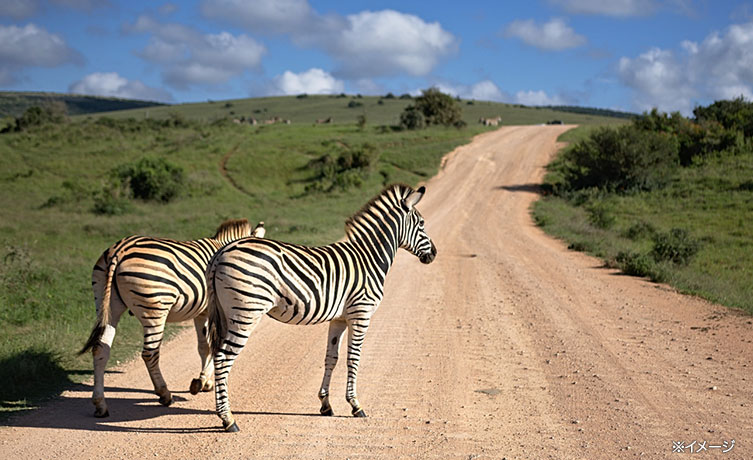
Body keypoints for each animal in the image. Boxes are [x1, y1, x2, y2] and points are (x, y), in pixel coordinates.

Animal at [79, 218, 266, 416]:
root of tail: (119, 250)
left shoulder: (201, 312)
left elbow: (204, 346)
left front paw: (203, 381)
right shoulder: (211, 311)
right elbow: (212, 346)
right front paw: (203, 381)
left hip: (107, 305)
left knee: (100, 349)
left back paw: (100, 404)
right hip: (154, 309)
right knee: (150, 353)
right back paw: (164, 394)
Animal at [209, 182, 438, 432]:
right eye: (422, 223)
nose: (434, 254)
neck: (369, 258)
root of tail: (222, 251)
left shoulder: (339, 319)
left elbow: (331, 358)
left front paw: (326, 405)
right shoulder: (361, 314)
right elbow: (353, 358)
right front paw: (355, 405)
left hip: (226, 313)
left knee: (217, 354)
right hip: (246, 313)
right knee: (223, 358)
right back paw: (228, 419)